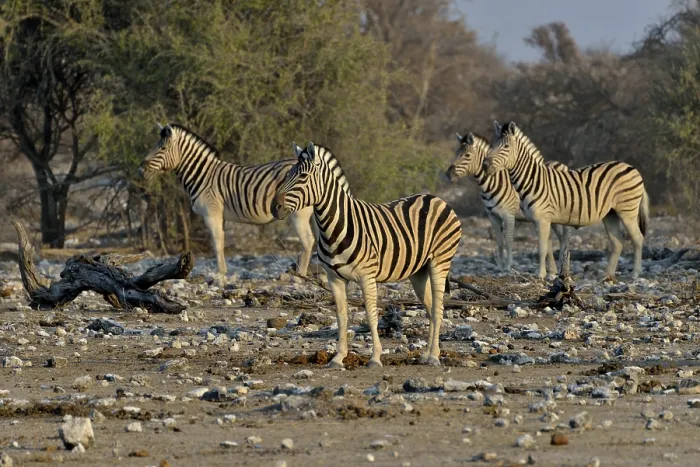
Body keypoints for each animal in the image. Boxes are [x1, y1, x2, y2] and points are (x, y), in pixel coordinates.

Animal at [137, 124, 344, 284]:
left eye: (162, 149)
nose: (141, 169)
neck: (203, 175)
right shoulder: (220, 216)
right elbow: (220, 242)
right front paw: (222, 275)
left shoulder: (211, 213)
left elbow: (216, 244)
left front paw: (220, 278)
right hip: (313, 213)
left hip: (297, 214)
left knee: (308, 241)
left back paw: (298, 277)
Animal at [272, 142, 462, 368]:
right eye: (287, 175)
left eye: (302, 176)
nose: (274, 208)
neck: (334, 226)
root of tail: (435, 198)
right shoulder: (334, 278)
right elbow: (341, 317)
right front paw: (338, 358)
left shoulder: (366, 276)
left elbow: (371, 315)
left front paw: (375, 358)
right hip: (418, 272)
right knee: (431, 309)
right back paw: (426, 355)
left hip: (440, 262)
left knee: (439, 308)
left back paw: (434, 356)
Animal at [446, 132, 569, 275]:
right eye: (456, 153)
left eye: (467, 155)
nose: (449, 174)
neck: (493, 183)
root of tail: (561, 164)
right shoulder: (493, 216)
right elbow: (499, 242)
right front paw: (500, 266)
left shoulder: (508, 215)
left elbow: (509, 240)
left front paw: (508, 266)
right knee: (558, 237)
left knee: (565, 236)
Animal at [483, 121, 649, 279]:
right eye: (493, 145)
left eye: (506, 146)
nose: (485, 165)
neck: (532, 180)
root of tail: (632, 167)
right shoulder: (540, 220)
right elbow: (548, 248)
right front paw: (551, 274)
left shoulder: (543, 219)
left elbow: (542, 249)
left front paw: (540, 274)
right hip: (611, 214)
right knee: (618, 243)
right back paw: (606, 275)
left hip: (627, 211)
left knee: (637, 238)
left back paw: (635, 273)